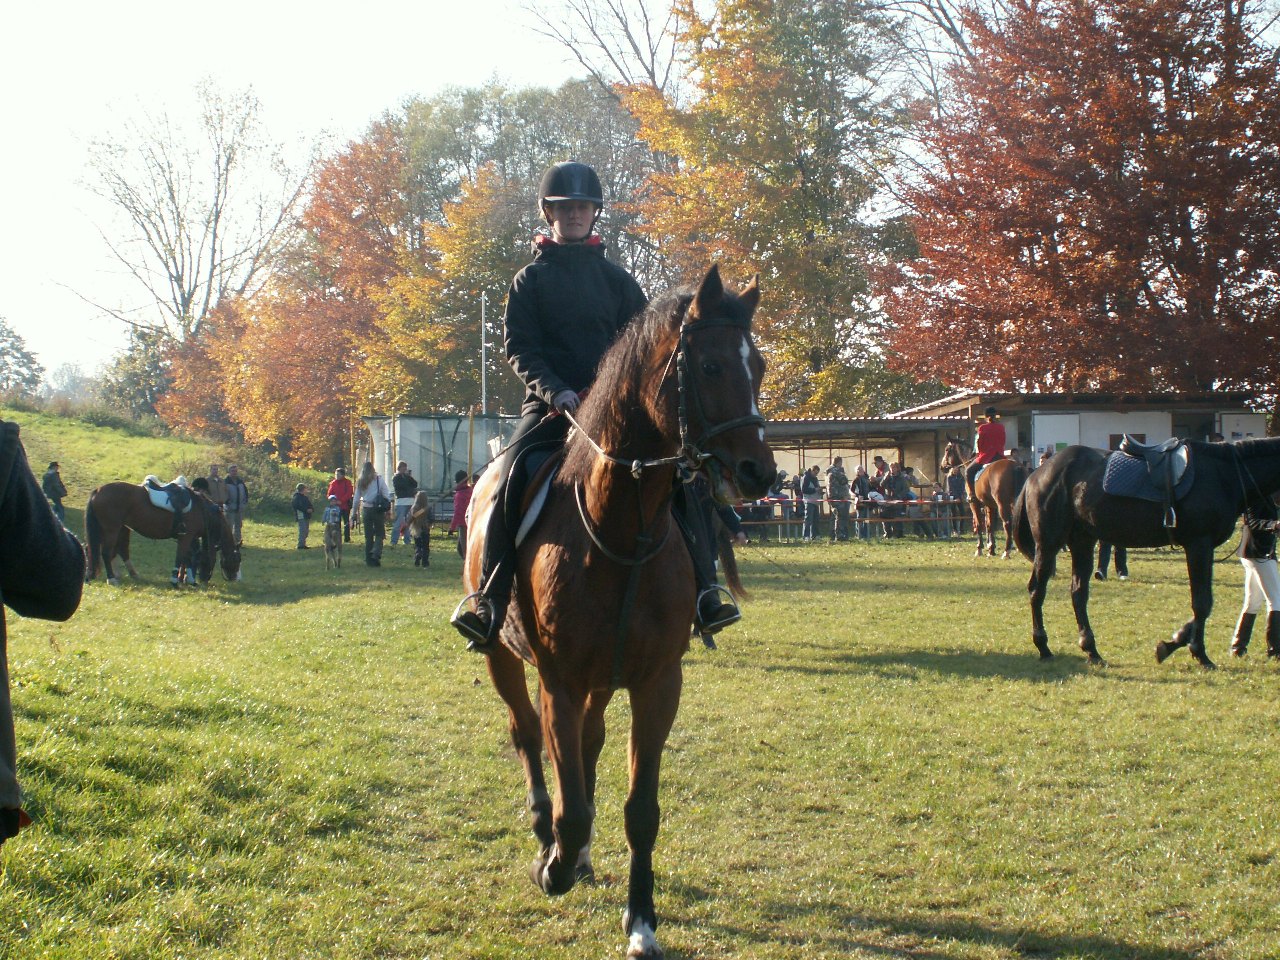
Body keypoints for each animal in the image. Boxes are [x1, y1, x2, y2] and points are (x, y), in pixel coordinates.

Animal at [83, 483, 240, 591]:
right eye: (236, 560)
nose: (234, 577)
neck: (201, 509)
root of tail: (98, 490)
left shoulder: (188, 539)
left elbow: (188, 558)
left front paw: (189, 580)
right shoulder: (186, 537)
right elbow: (181, 557)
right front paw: (175, 581)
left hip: (110, 530)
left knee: (97, 549)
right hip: (111, 530)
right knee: (106, 553)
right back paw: (111, 578)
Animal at [465, 264, 773, 960]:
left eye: (760, 366)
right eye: (710, 366)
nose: (758, 472)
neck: (619, 529)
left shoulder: (658, 683)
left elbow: (640, 810)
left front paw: (640, 920)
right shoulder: (558, 679)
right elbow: (572, 801)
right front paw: (553, 864)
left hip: (604, 680)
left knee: (588, 742)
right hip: (503, 656)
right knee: (529, 737)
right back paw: (548, 838)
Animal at [1013, 437, 1280, 670]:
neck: (1224, 474)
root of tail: (1037, 474)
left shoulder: (1201, 547)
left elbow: (1202, 605)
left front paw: (1174, 644)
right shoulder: (1198, 545)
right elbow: (1202, 603)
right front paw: (1196, 653)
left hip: (1082, 541)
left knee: (1078, 593)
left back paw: (1091, 650)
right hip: (1048, 544)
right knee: (1037, 590)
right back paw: (1043, 647)